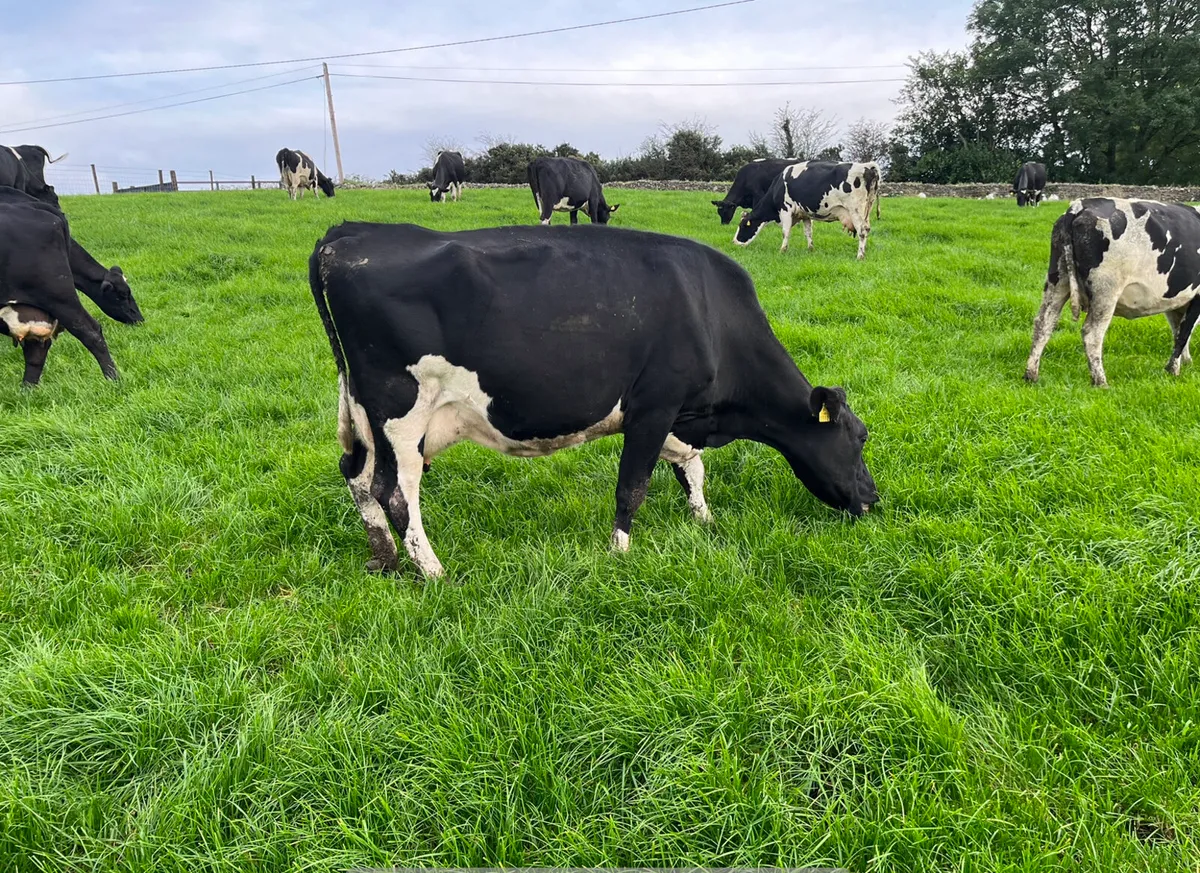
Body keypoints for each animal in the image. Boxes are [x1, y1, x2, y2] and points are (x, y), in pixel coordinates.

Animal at [310, 222, 878, 578]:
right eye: (859, 439)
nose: (873, 499)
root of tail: (349, 233)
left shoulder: (677, 414)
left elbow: (690, 467)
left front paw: (705, 521)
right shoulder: (654, 406)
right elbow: (634, 487)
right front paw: (620, 553)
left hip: (363, 414)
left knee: (357, 477)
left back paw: (384, 559)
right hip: (401, 414)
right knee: (396, 491)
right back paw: (432, 570)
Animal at [733, 161, 880, 259]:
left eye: (742, 226)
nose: (734, 242)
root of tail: (868, 166)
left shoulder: (785, 209)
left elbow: (785, 232)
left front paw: (782, 250)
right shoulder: (805, 214)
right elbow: (808, 232)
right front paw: (811, 249)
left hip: (855, 210)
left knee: (862, 231)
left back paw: (860, 256)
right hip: (867, 209)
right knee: (867, 228)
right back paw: (864, 252)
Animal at [1024, 198, 1200, 387]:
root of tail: (1079, 206)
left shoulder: (1177, 300)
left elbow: (1178, 331)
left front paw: (1185, 363)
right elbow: (1183, 334)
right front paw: (1173, 370)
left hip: (1057, 279)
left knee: (1043, 323)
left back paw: (1031, 375)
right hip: (1105, 292)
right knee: (1091, 333)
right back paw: (1101, 382)